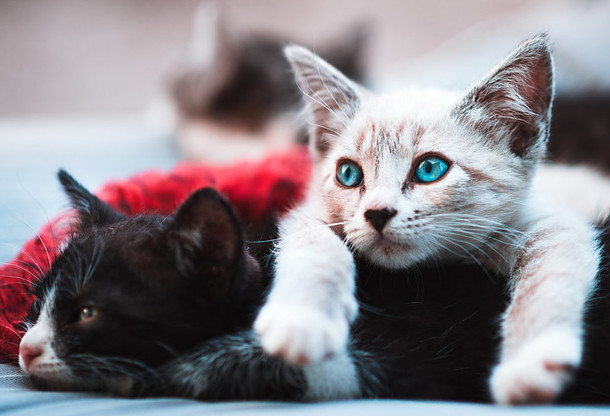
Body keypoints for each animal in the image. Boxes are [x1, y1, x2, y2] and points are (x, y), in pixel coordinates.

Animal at [252, 34, 600, 404]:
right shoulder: (308, 212)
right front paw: (301, 320)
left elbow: (548, 280)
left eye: (430, 169)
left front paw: (528, 362)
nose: (377, 212)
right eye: (348, 174)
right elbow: (314, 245)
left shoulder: (554, 223)